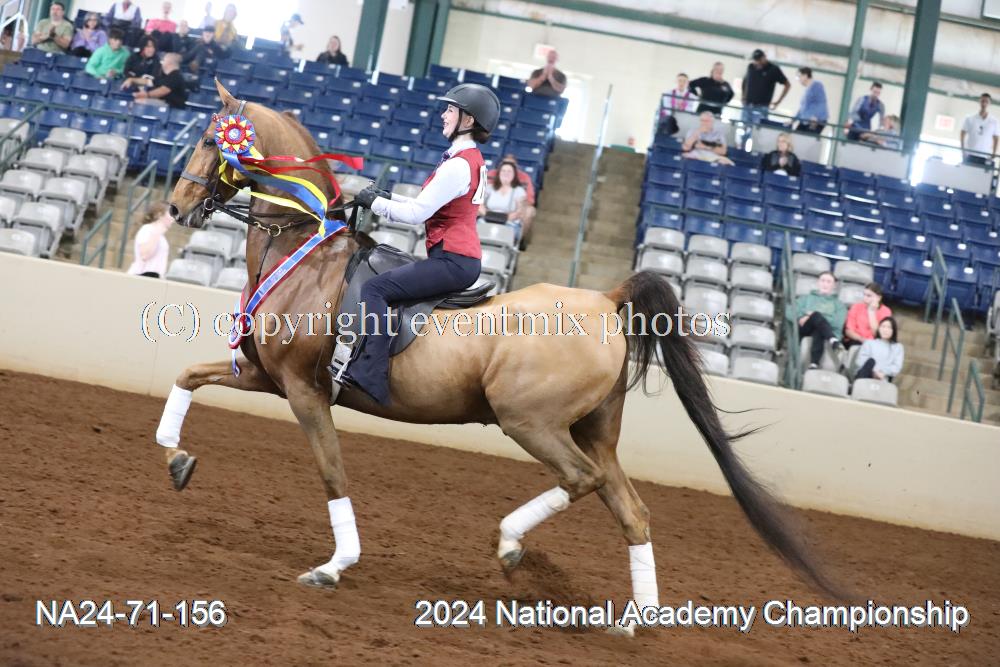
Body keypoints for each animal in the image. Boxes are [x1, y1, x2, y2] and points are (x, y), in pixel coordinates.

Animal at [160, 80, 839, 632]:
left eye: (209, 139)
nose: (175, 208)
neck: (306, 254)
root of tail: (605, 297)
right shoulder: (264, 376)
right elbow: (188, 375)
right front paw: (176, 460)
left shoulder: (305, 391)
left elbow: (332, 473)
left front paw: (334, 565)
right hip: (594, 430)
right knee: (632, 509)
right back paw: (636, 621)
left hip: (530, 422)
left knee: (582, 480)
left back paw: (513, 546)